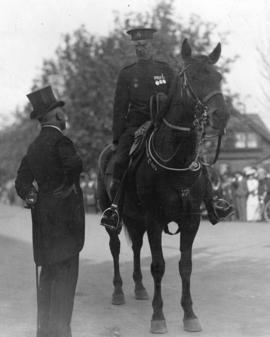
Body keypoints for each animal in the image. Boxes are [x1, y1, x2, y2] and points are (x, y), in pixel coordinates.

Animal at [97, 38, 230, 330]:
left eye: (218, 77)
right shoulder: (155, 219)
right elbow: (158, 265)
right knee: (116, 248)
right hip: (116, 216)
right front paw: (158, 318)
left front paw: (190, 315)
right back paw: (118, 291)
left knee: (136, 247)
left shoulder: (191, 221)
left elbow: (185, 266)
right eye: (194, 77)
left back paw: (139, 288)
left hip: (137, 218)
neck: (176, 159)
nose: (221, 116)